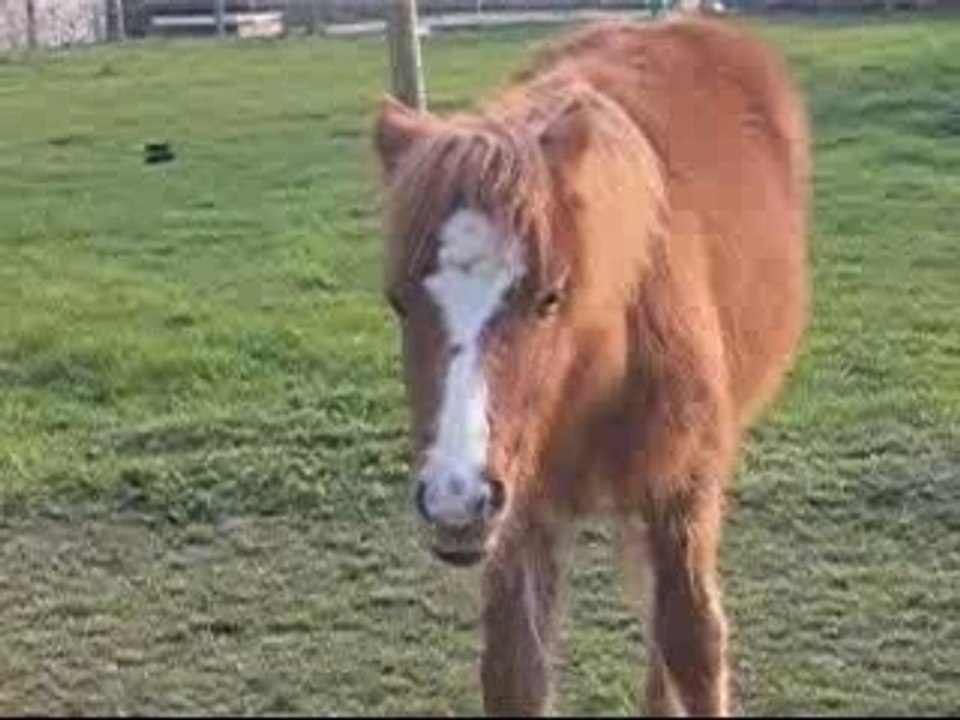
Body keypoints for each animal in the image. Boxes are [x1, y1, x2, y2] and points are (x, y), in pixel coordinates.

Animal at [372, 15, 810, 717]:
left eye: (550, 297)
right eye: (397, 301)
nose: (456, 500)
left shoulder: (680, 495)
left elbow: (694, 646)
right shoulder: (522, 516)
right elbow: (515, 674)